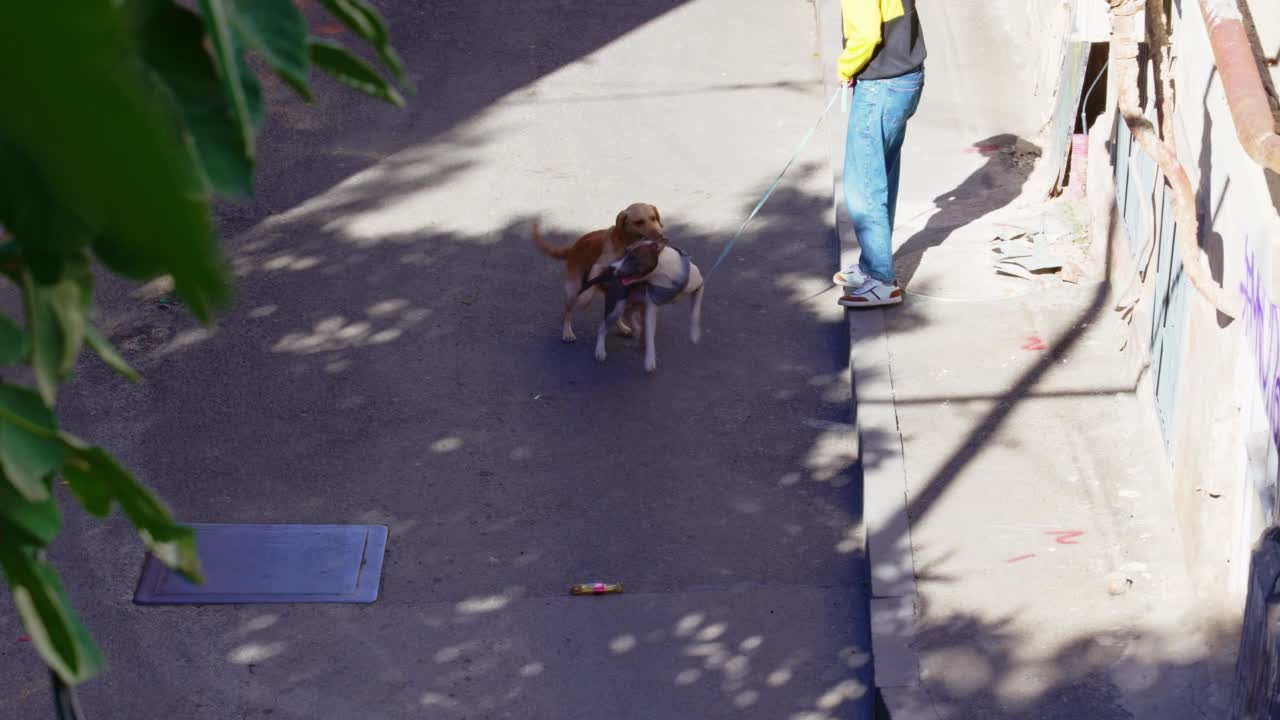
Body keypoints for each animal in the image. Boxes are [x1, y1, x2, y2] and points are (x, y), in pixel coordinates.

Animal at [532, 202, 665, 340]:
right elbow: (593, 279)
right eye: (639, 222)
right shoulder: (599, 264)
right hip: (572, 289)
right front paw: (585, 298)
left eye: (654, 218)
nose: (660, 235)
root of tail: (573, 248)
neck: (625, 242)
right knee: (567, 313)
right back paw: (567, 331)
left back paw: (622, 327)